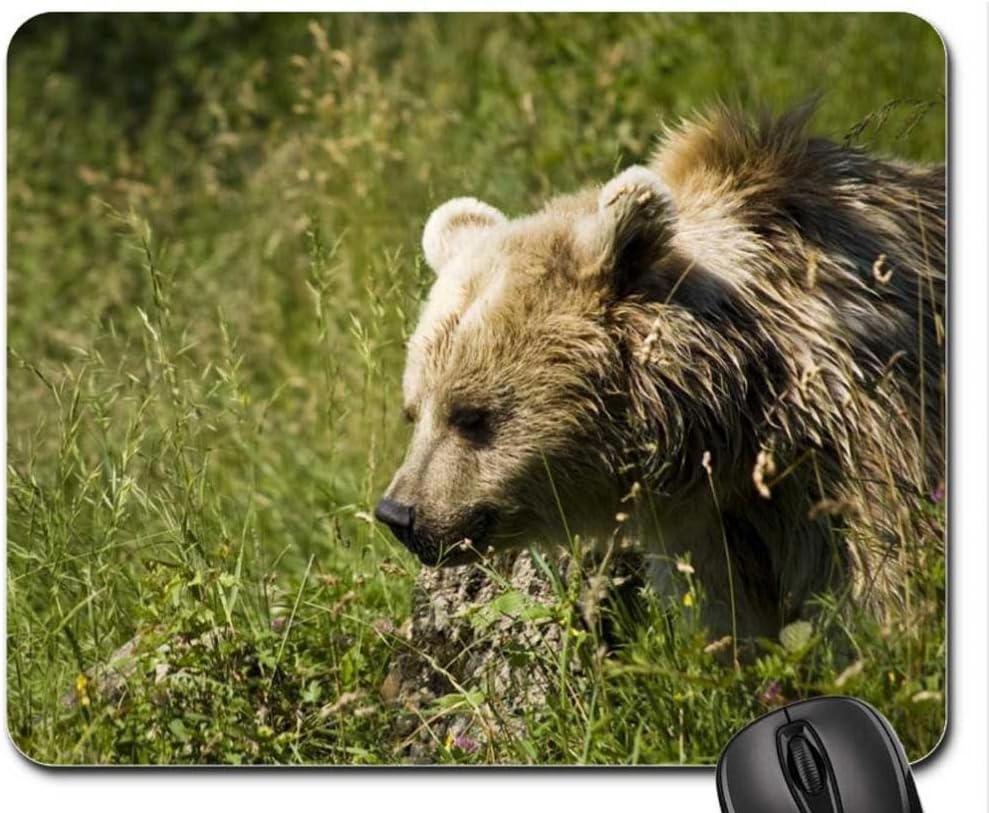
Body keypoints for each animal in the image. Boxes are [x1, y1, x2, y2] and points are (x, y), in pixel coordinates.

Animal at [375, 103, 945, 638]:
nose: (399, 514)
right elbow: (733, 621)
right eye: (413, 411)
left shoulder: (870, 438)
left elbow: (886, 580)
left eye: (471, 415)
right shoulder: (715, 526)